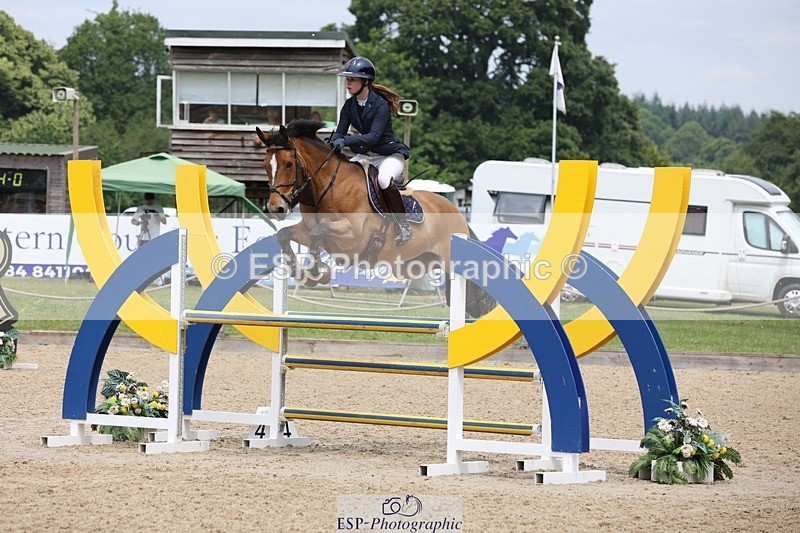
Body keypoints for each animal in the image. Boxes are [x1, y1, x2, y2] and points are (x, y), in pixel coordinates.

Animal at [255, 120, 495, 318]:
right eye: (265, 165)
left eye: (289, 164)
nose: (276, 208)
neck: (327, 188)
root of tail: (457, 213)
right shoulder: (307, 231)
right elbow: (285, 235)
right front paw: (302, 273)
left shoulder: (352, 237)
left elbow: (318, 232)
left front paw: (315, 272)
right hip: (417, 262)